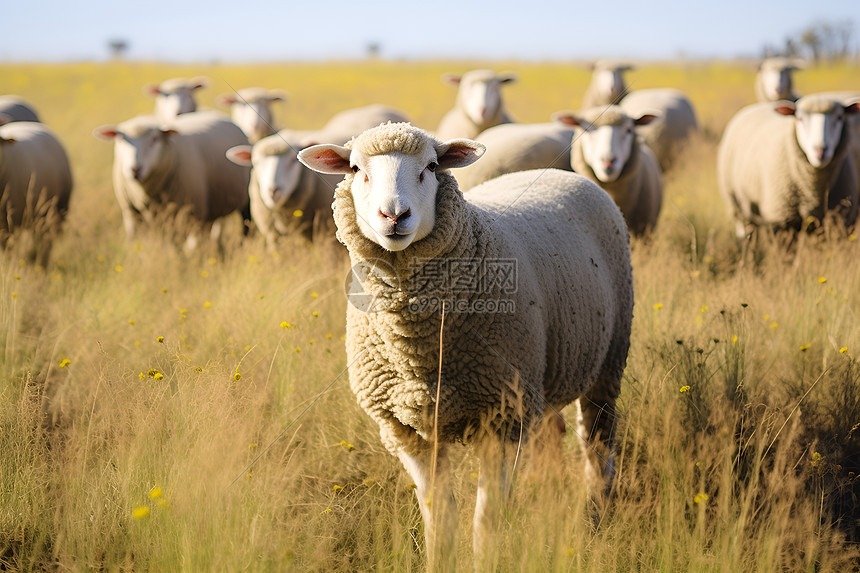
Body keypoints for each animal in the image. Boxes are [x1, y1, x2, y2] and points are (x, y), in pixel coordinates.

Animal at [93, 109, 250, 248]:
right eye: (120, 139)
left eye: (155, 139)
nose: (135, 169)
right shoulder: (131, 213)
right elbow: (136, 242)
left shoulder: (190, 213)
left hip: (243, 201)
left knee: (246, 227)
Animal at [298, 122, 636, 568]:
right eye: (355, 169)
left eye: (431, 166)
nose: (394, 215)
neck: (418, 351)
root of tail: (563, 173)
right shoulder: (406, 429)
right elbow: (439, 518)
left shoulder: (502, 419)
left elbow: (486, 522)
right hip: (539, 376)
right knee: (552, 432)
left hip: (607, 362)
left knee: (599, 448)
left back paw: (597, 521)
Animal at [716, 95, 856, 238]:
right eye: (800, 118)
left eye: (839, 117)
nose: (820, 150)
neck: (814, 191)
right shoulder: (781, 221)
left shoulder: (841, 220)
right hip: (738, 207)